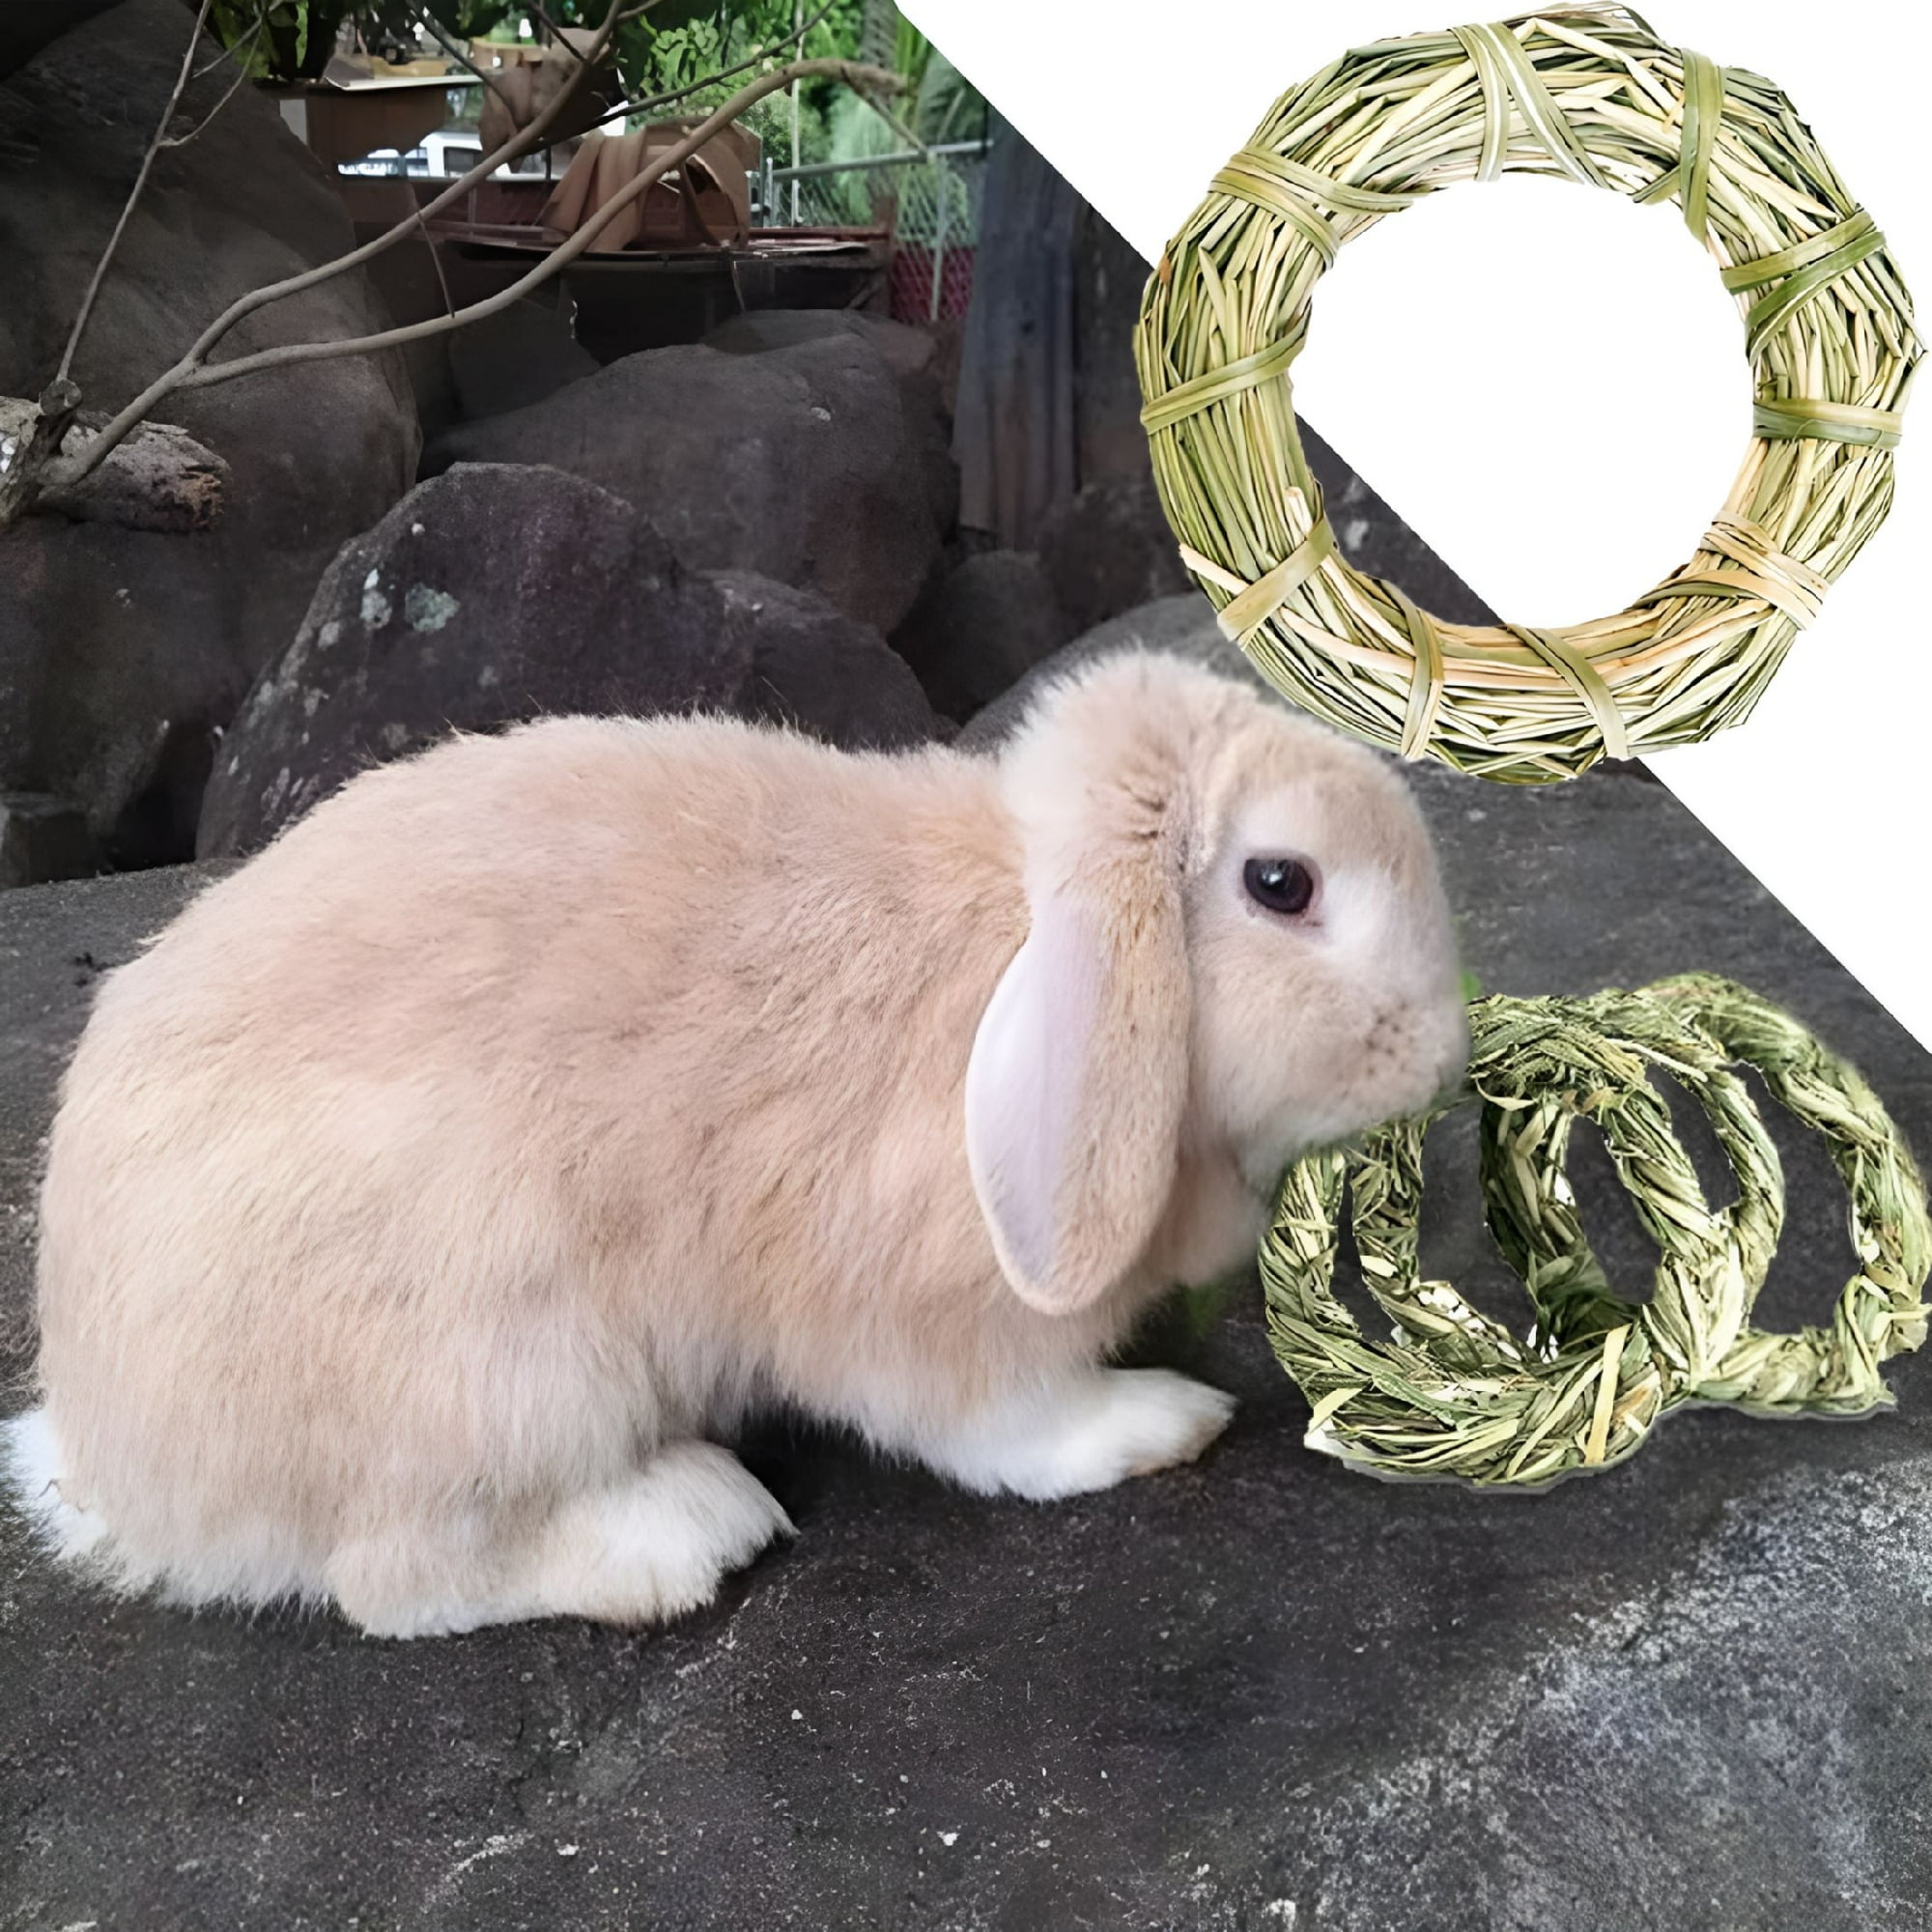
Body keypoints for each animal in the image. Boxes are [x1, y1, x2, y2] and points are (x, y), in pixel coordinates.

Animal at [3, 651, 1467, 1638]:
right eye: (1282, 884)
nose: (1441, 1051)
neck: (1042, 943)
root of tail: (112, 1464)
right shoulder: (919, 1315)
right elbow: (1008, 1427)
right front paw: (1157, 1419)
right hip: (500, 1370)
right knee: (399, 1578)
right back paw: (685, 1530)